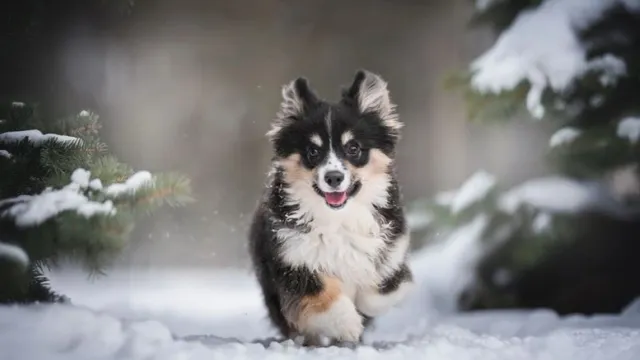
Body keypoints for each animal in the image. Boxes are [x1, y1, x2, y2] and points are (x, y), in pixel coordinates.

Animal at [248, 68, 412, 346]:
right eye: (313, 151)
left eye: (353, 148)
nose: (333, 177)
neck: (338, 219)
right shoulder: (291, 261)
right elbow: (322, 295)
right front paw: (348, 323)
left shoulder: (392, 251)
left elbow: (383, 287)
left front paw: (364, 307)